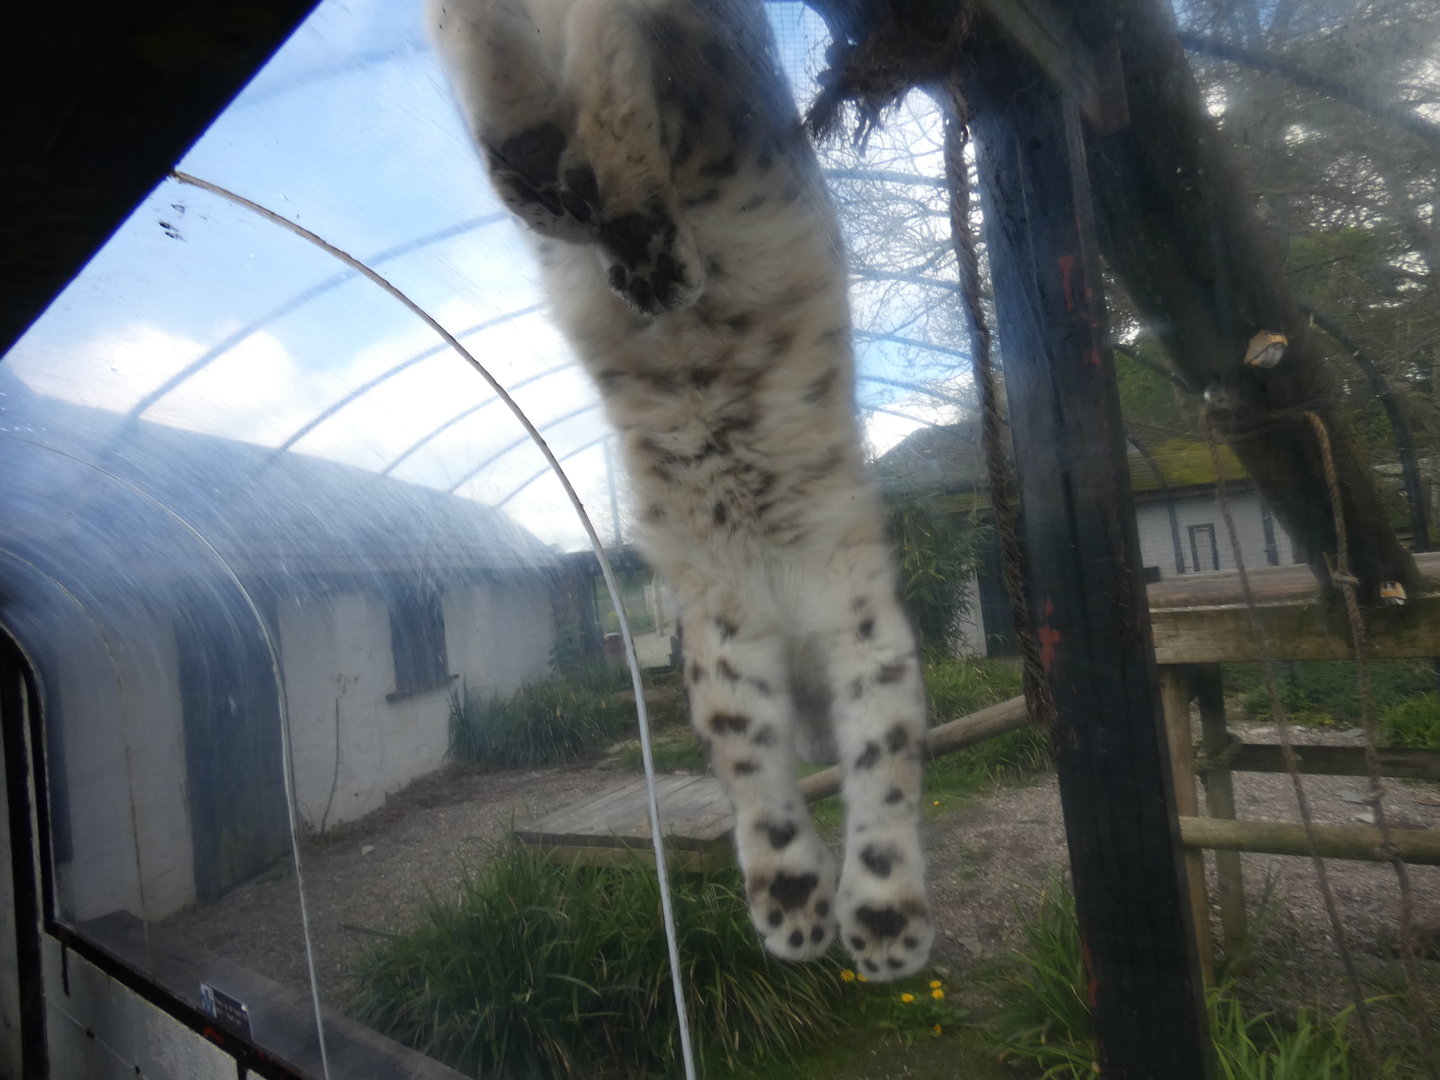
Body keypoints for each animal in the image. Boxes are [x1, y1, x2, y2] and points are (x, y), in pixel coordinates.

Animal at [425, 0, 934, 980]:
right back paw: (635, 246)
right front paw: (803, 911)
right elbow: (758, 772)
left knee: (551, 62)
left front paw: (873, 915)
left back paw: (567, 192)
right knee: (602, 84)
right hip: (700, 96)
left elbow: (881, 761)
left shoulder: (849, 629)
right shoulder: (726, 640)